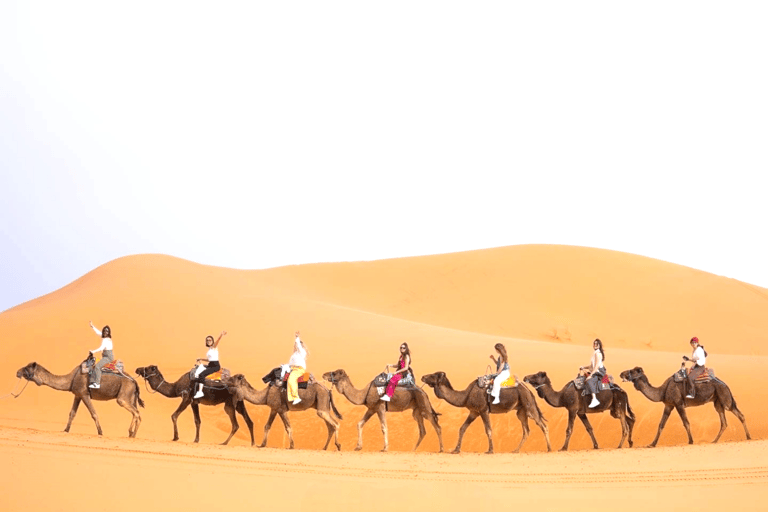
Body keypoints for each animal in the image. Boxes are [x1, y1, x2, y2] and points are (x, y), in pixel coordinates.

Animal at [15, 360, 143, 436]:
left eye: (27, 368)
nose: (17, 372)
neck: (71, 379)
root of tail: (134, 381)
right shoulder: (77, 395)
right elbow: (72, 413)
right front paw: (66, 430)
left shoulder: (84, 394)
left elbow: (94, 414)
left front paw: (100, 432)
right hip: (131, 395)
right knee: (137, 413)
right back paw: (132, 434)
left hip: (123, 394)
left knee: (135, 412)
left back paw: (131, 433)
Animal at [420, 372, 552, 452]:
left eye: (433, 375)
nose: (423, 377)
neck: (465, 396)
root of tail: (529, 391)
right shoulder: (474, 412)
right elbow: (462, 428)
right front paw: (456, 450)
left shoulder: (483, 410)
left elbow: (488, 430)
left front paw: (490, 450)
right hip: (521, 411)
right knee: (526, 430)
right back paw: (515, 450)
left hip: (529, 406)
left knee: (543, 425)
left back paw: (549, 448)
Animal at [616, 366, 752, 446]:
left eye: (632, 371)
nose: (621, 373)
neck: (662, 391)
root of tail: (726, 385)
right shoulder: (668, 405)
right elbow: (661, 425)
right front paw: (652, 444)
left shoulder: (678, 404)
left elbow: (686, 422)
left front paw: (691, 441)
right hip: (717, 402)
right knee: (724, 421)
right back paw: (714, 441)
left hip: (725, 397)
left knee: (740, 414)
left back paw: (749, 437)